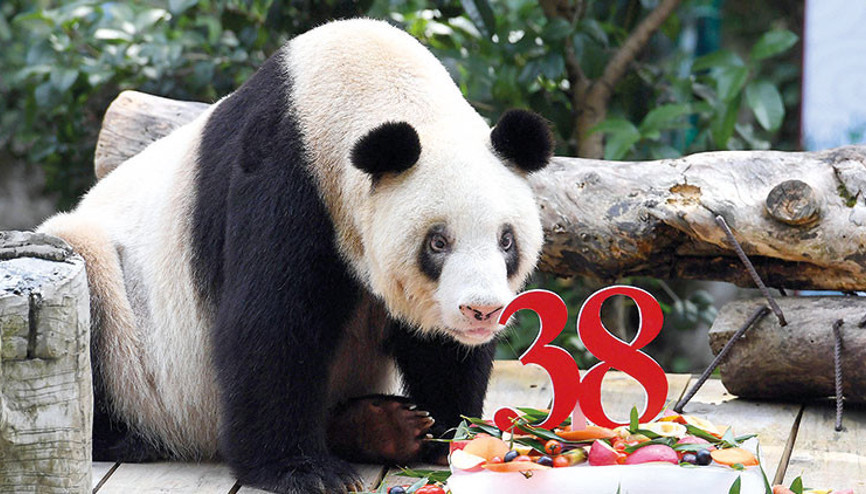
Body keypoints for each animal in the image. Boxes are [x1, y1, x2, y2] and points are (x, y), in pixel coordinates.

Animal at [39, 18, 553, 493]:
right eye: (437, 242)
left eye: (506, 240)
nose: (482, 311)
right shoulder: (286, 176)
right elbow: (272, 322)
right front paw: (302, 471)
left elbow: (440, 347)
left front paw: (451, 435)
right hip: (127, 323)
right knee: (88, 281)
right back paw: (124, 438)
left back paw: (380, 427)